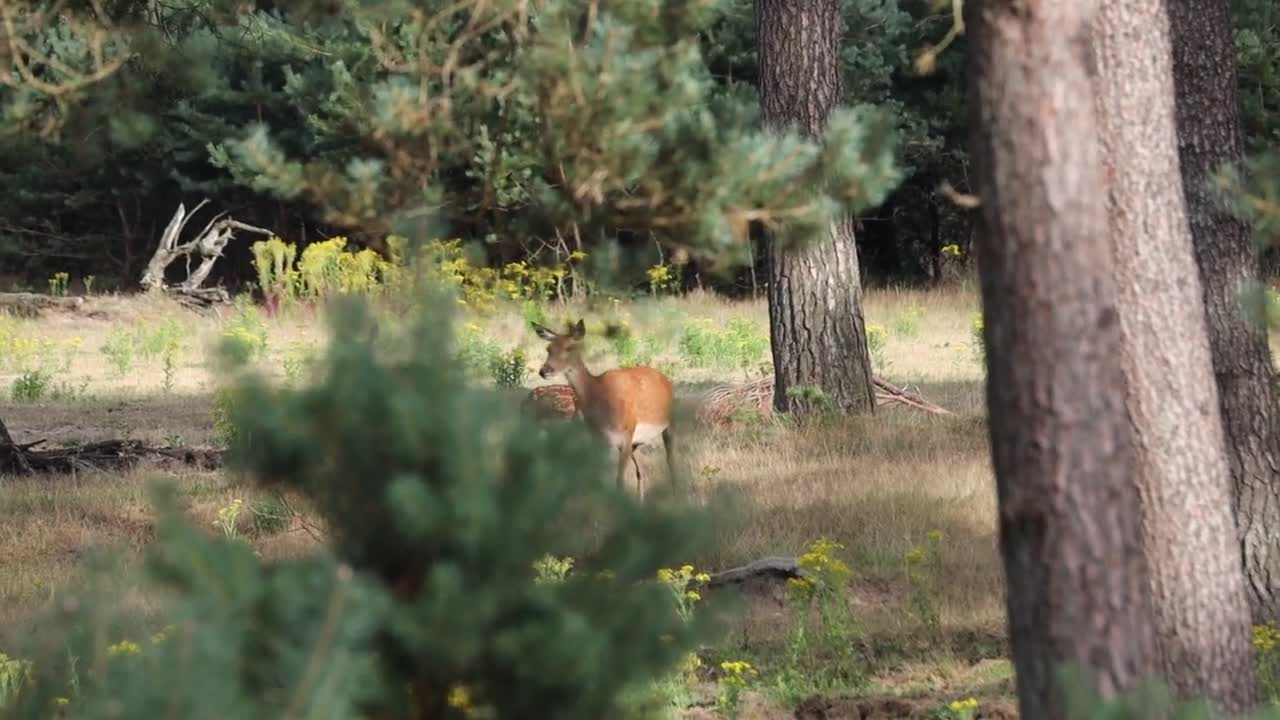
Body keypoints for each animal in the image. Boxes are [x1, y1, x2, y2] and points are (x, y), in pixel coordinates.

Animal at [532, 316, 680, 497]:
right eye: (548, 349)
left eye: (569, 347)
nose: (544, 371)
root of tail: (664, 378)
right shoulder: (599, 439)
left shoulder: (626, 434)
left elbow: (619, 482)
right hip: (636, 442)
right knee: (641, 471)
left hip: (668, 423)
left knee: (671, 463)